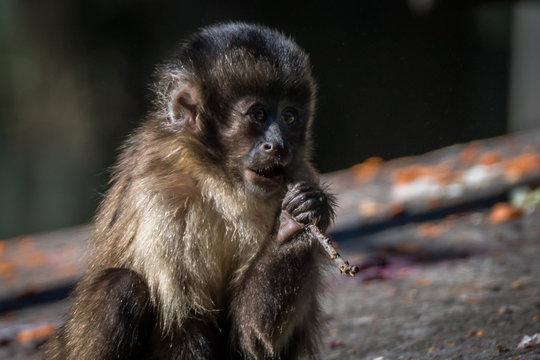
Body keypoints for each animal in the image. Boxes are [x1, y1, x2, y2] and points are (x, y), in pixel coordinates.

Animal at [45, 23, 334, 360]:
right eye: (259, 114)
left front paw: (294, 221)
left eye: (289, 117)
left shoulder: (300, 173)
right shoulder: (163, 194)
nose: (278, 145)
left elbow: (252, 335)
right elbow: (184, 322)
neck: (216, 181)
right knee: (121, 288)